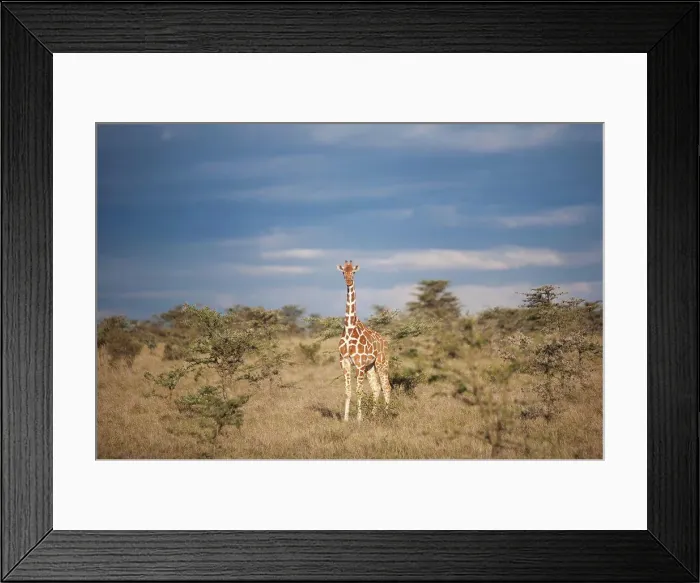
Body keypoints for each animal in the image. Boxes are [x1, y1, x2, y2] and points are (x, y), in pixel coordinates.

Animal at [337, 260, 391, 422]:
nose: (348, 281)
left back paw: (386, 414)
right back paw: (373, 415)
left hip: (381, 363)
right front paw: (346, 419)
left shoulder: (359, 364)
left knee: (386, 386)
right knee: (376, 388)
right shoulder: (345, 362)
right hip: (370, 366)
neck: (349, 328)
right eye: (343, 271)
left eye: (353, 272)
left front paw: (359, 419)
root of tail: (385, 342)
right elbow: (348, 391)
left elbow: (359, 391)